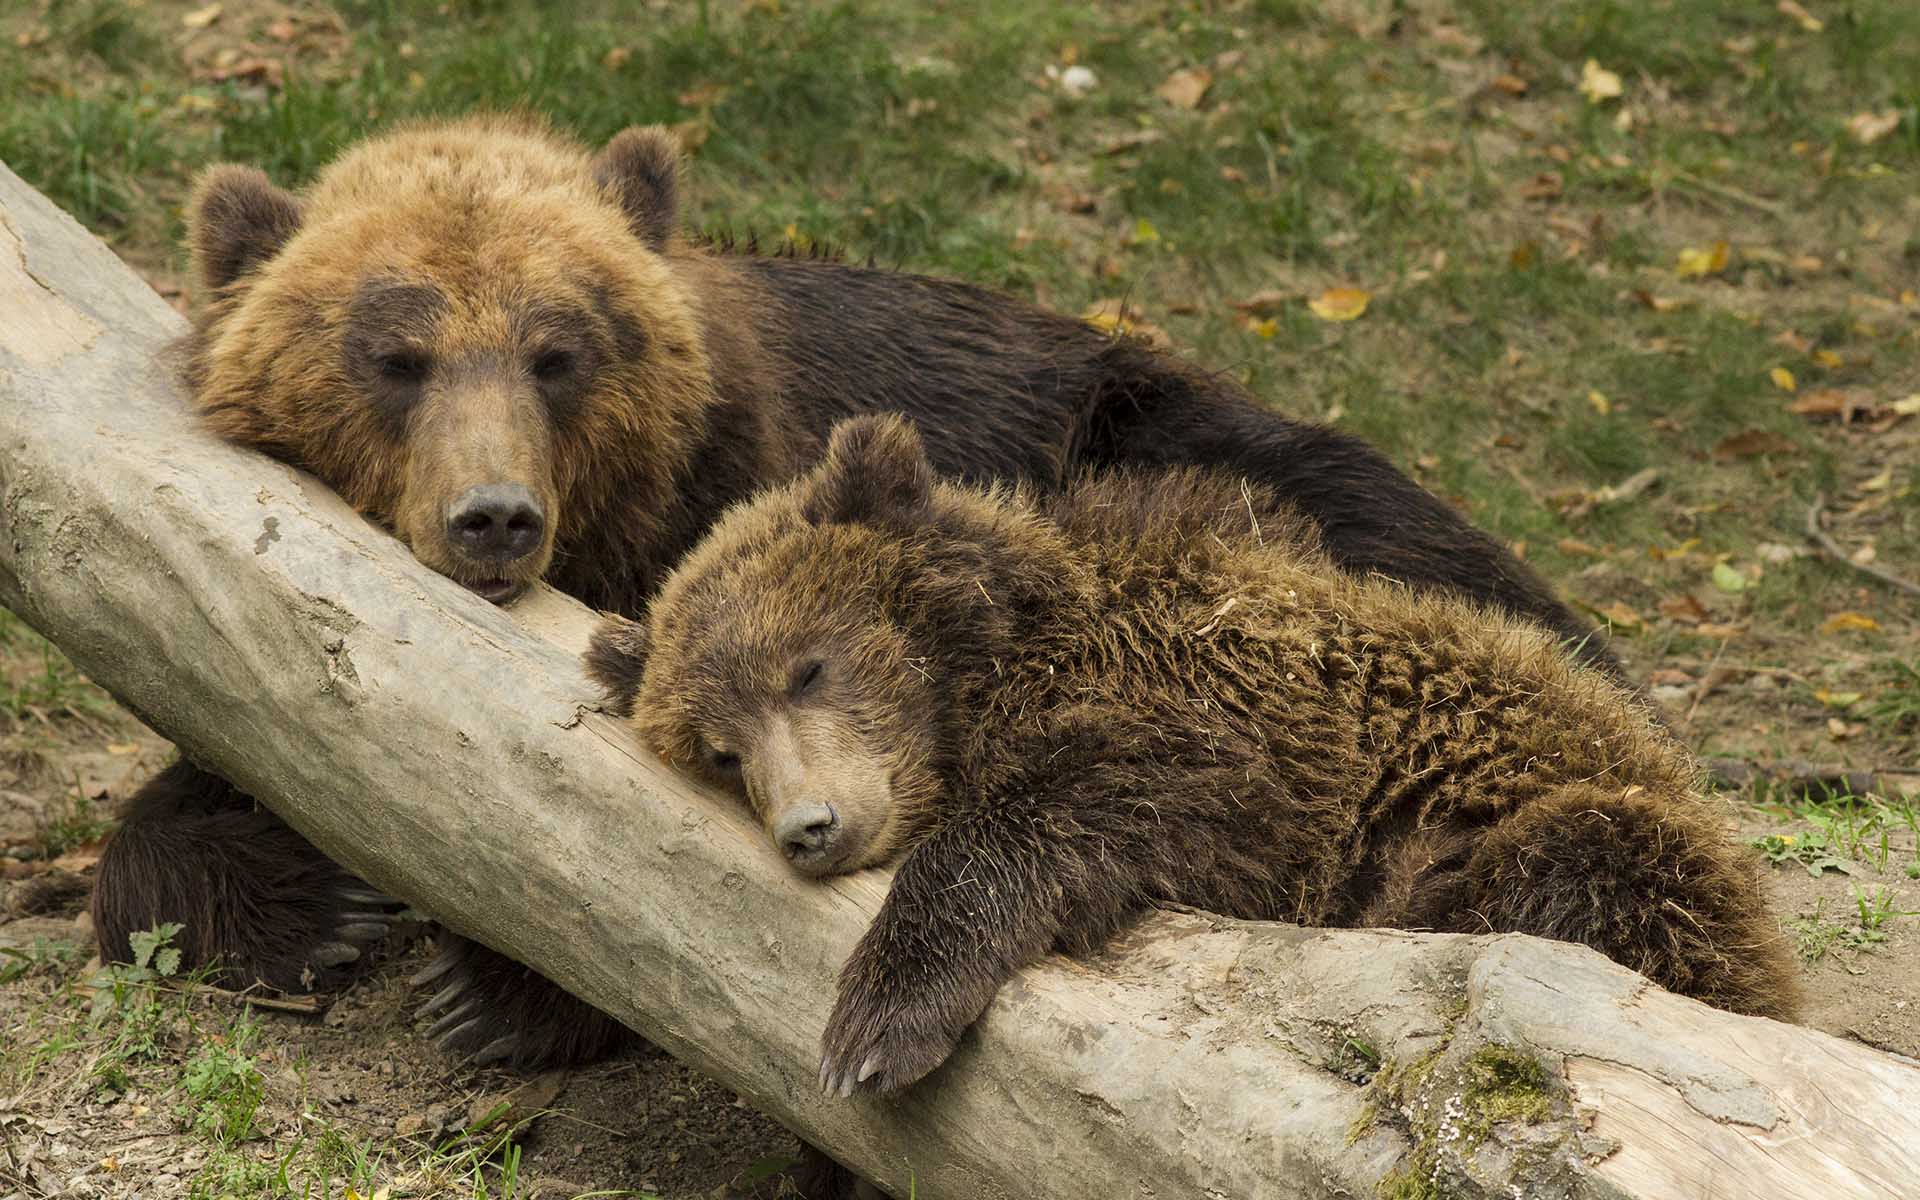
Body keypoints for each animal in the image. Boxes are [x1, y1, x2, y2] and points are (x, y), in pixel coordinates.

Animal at [93, 114, 1623, 1074]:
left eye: (557, 350)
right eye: (395, 353)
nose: (494, 517)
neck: (608, 544)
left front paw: (488, 989)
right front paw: (301, 903)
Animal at [588, 414, 1798, 1096]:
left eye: (807, 666)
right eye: (720, 750)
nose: (811, 826)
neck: (1004, 665)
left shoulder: (1256, 727)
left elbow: (1107, 799)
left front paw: (878, 1026)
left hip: (1593, 832)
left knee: (1586, 870)